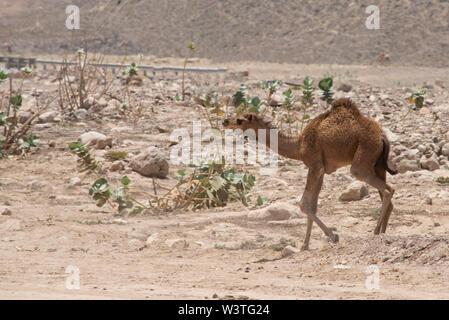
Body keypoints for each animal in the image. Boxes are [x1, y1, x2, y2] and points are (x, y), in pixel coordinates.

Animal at [222, 97, 398, 250]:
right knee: (388, 192)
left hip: (363, 158)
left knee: (386, 189)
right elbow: (312, 206)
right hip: (378, 165)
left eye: (240, 120)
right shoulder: (321, 171)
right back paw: (383, 234)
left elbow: (303, 204)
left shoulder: (315, 166)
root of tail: (383, 137)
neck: (298, 145)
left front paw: (333, 236)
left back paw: (375, 232)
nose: (225, 121)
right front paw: (305, 245)